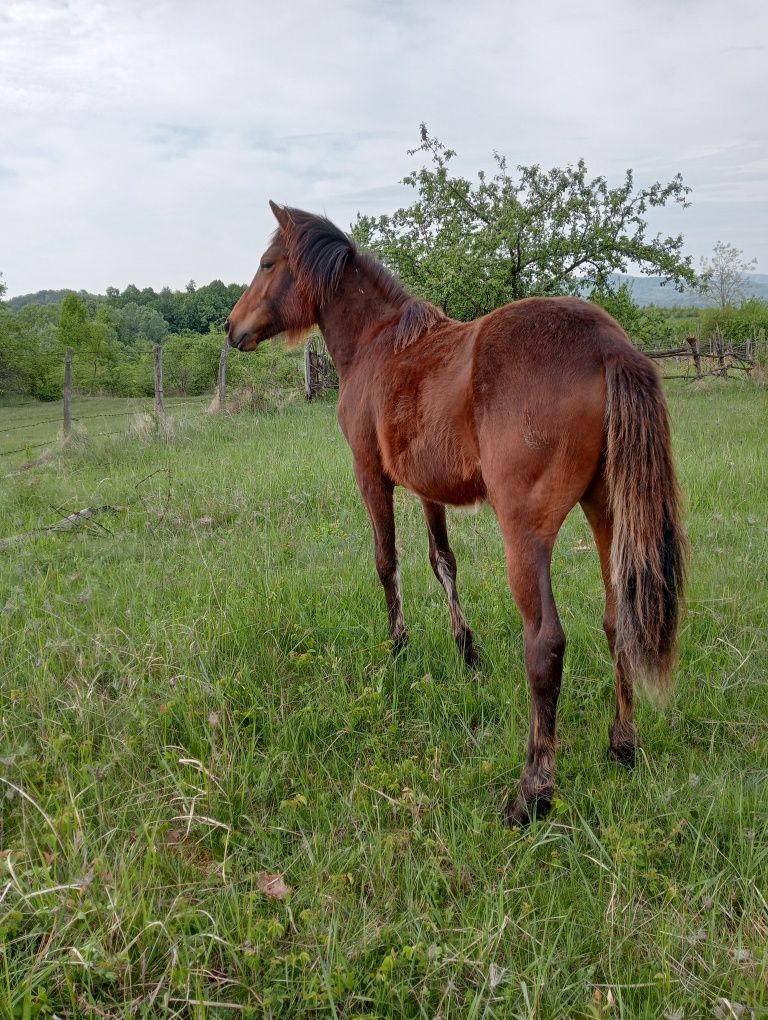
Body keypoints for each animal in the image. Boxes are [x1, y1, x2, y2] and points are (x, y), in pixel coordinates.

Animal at [224, 200, 685, 828]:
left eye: (268, 263)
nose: (231, 328)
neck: (378, 344)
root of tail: (608, 345)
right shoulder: (427, 490)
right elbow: (442, 561)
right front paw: (466, 650)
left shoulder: (371, 476)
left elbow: (386, 561)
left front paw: (399, 646)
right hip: (606, 512)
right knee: (619, 625)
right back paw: (622, 746)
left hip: (526, 534)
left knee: (546, 644)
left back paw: (532, 792)